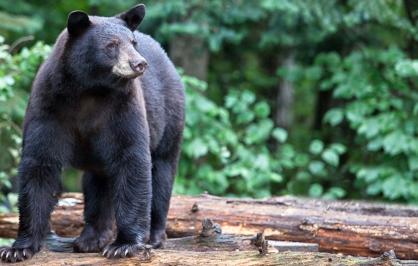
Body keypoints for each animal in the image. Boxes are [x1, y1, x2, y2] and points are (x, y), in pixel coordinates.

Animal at [0, 3, 185, 262]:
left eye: (133, 42)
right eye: (112, 45)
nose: (139, 63)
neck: (91, 89)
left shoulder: (123, 108)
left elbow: (132, 159)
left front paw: (124, 245)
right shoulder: (48, 105)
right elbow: (39, 164)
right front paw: (18, 248)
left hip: (169, 118)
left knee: (162, 171)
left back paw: (154, 236)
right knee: (98, 183)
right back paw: (91, 238)